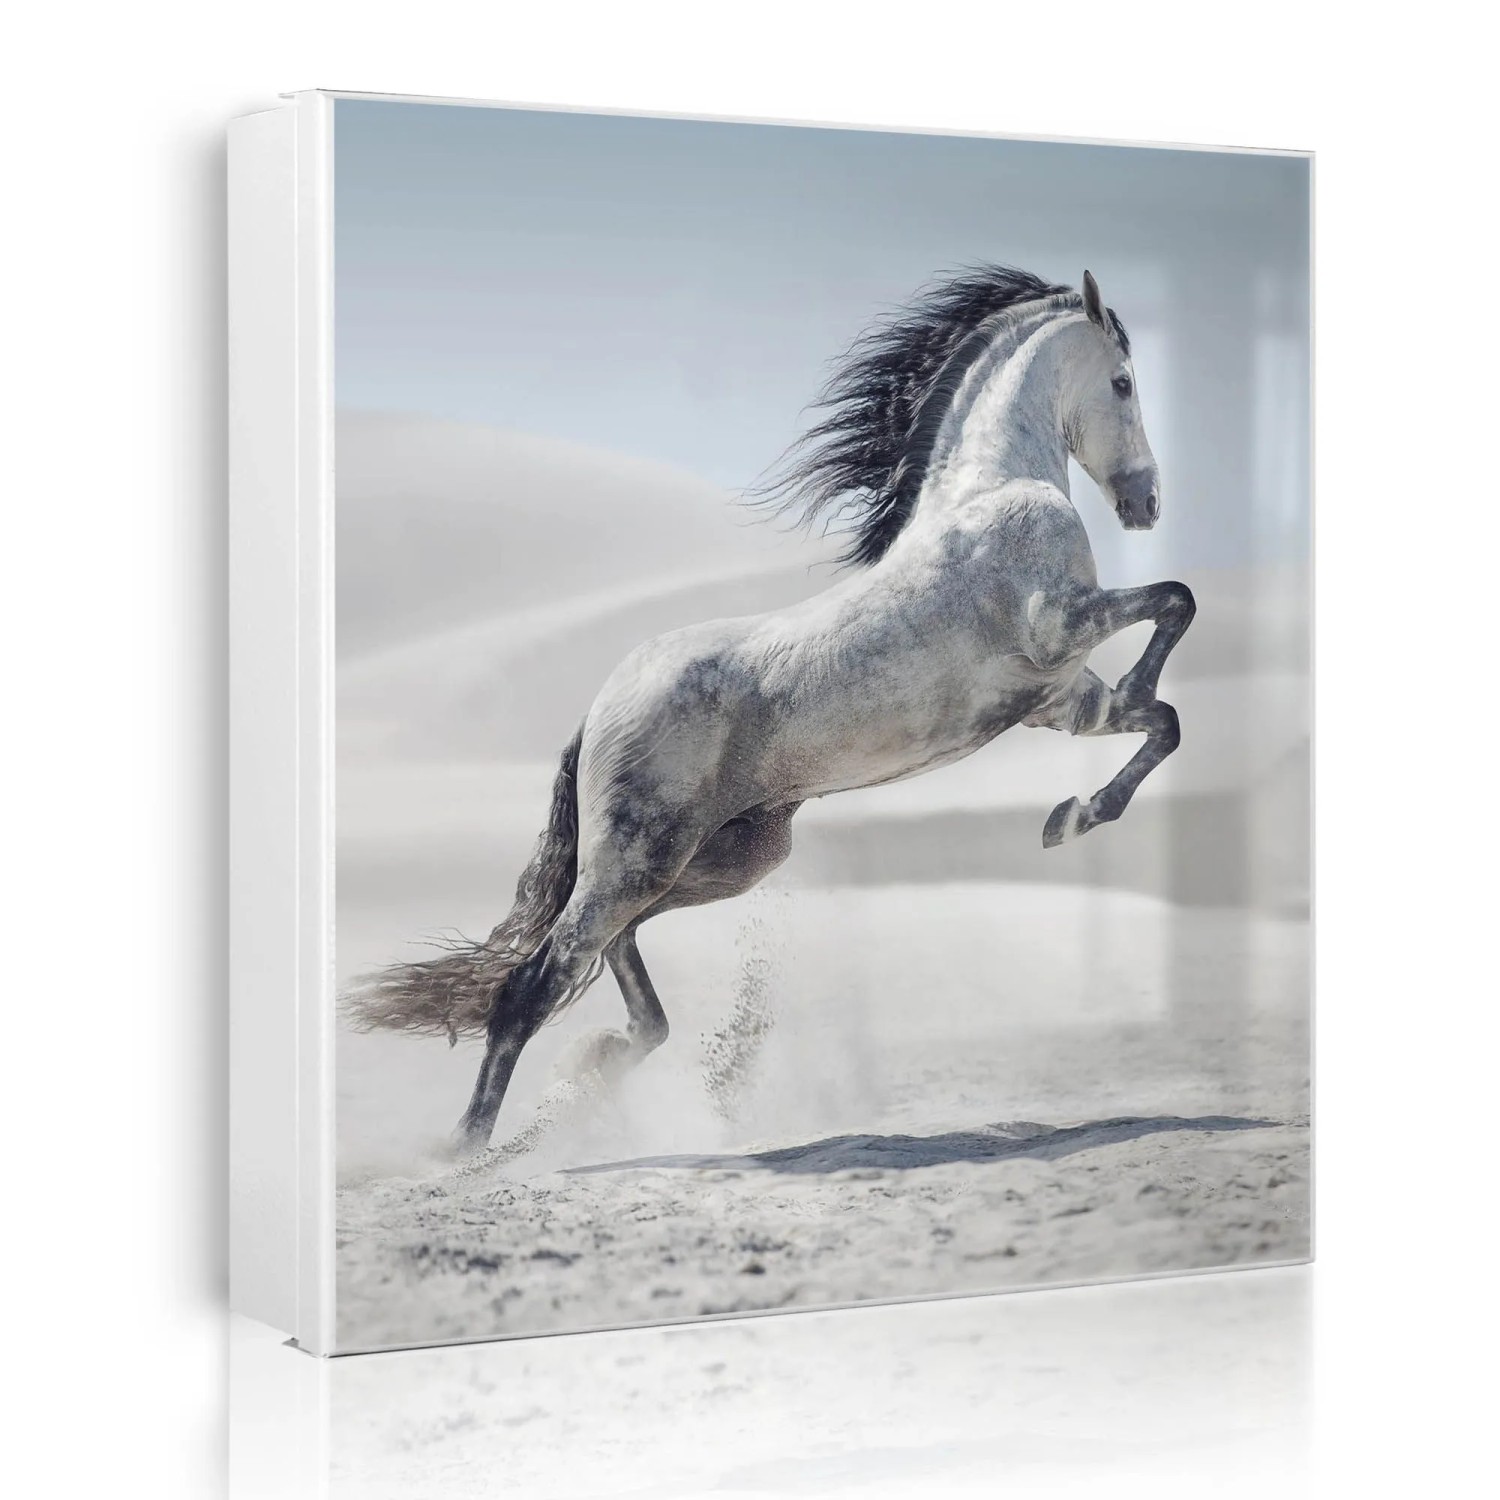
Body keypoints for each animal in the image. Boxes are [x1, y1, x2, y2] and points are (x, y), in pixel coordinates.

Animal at [346, 265, 1196, 1153]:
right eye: (1124, 381)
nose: (1147, 504)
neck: (993, 489)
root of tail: (600, 709)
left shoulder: (1059, 697)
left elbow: (1161, 718)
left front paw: (1072, 815)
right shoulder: (1058, 623)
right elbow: (1177, 600)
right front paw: (1087, 790)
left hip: (721, 858)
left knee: (616, 951)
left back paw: (602, 1062)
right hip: (639, 858)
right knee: (535, 981)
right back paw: (471, 1148)